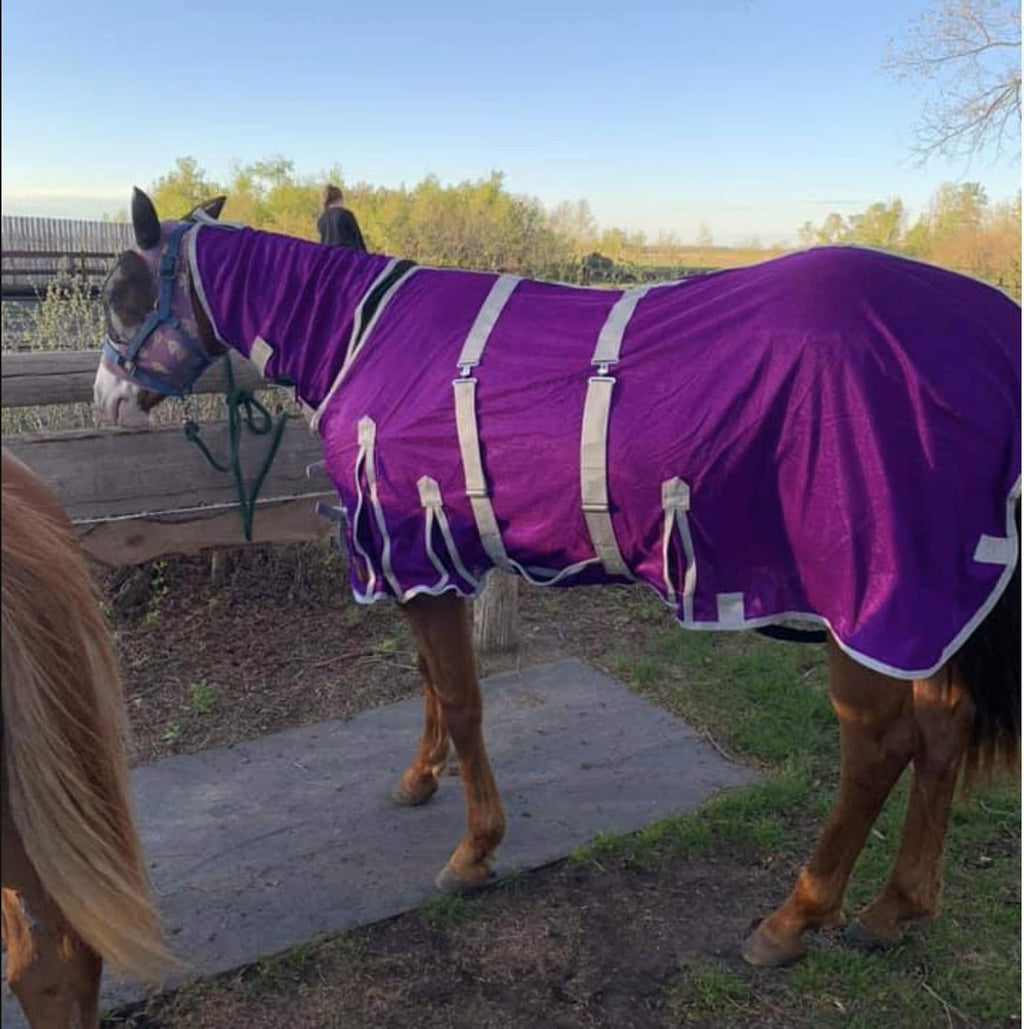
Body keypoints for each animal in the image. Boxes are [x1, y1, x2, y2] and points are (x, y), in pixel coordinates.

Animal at [92, 187, 1020, 968]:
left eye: (118, 290)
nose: (105, 399)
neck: (363, 335)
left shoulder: (417, 549)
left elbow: (463, 697)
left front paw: (475, 848)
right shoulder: (430, 561)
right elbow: (430, 679)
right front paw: (420, 777)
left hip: (868, 605)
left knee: (878, 749)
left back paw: (796, 916)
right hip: (930, 612)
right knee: (940, 732)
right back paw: (894, 908)